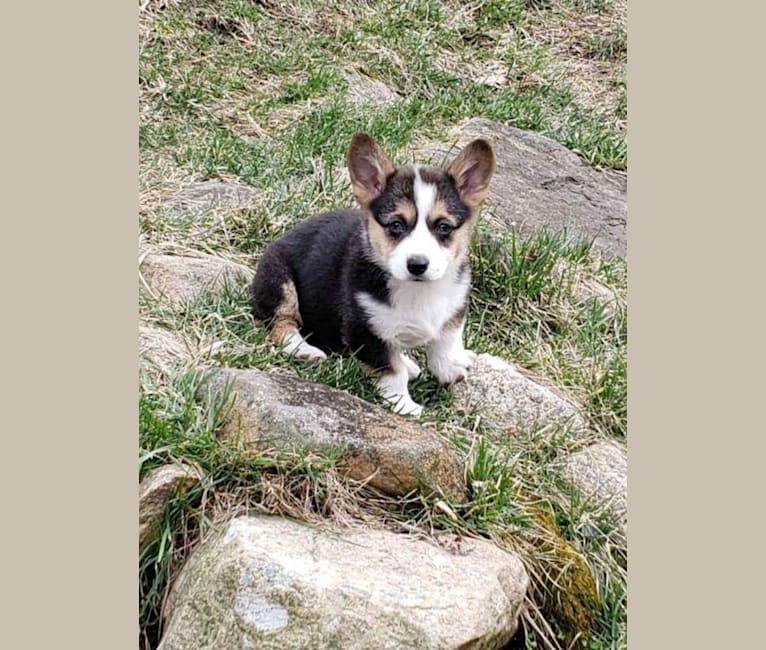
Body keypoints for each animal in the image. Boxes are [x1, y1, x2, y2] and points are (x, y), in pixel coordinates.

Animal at [249, 133, 496, 416]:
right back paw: (305, 350)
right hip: (280, 283)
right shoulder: (365, 328)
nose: (417, 264)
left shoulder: (454, 310)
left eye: (444, 227)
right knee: (282, 325)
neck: (418, 290)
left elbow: (444, 343)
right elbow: (391, 371)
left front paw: (450, 369)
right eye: (396, 225)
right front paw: (405, 406)